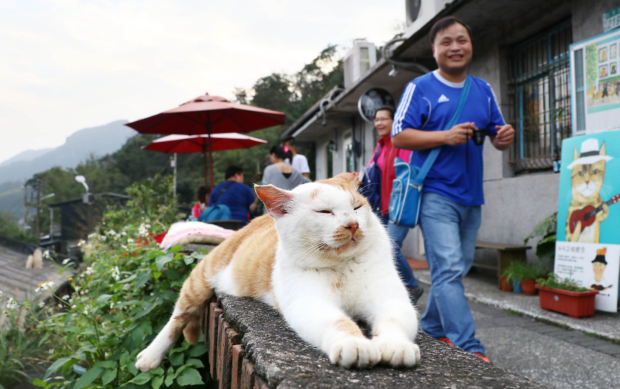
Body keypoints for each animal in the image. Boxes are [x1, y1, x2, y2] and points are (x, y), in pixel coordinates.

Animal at [136, 172, 422, 370]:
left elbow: (394, 319)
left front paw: (396, 346)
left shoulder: (390, 298)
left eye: (357, 207)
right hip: (201, 277)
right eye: (324, 211)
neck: (340, 267)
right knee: (177, 317)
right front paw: (355, 344)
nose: (352, 224)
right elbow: (338, 322)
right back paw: (150, 356)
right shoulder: (309, 303)